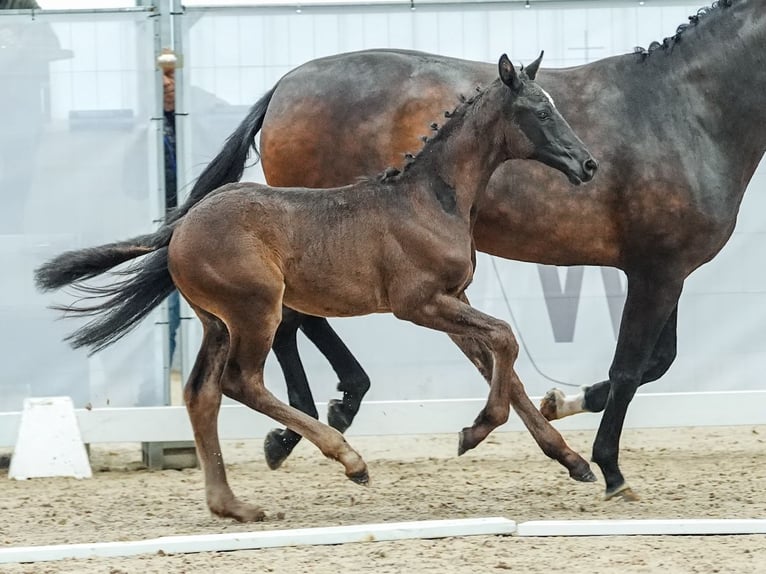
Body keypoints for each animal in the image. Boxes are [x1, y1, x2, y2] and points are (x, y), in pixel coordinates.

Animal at [36, 54, 600, 520]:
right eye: (541, 112)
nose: (588, 163)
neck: (429, 198)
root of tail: (181, 226)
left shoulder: (452, 298)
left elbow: (504, 365)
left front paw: (573, 461)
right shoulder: (418, 303)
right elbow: (505, 338)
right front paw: (475, 431)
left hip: (217, 322)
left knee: (201, 393)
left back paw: (233, 507)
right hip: (256, 311)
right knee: (241, 382)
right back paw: (348, 459)